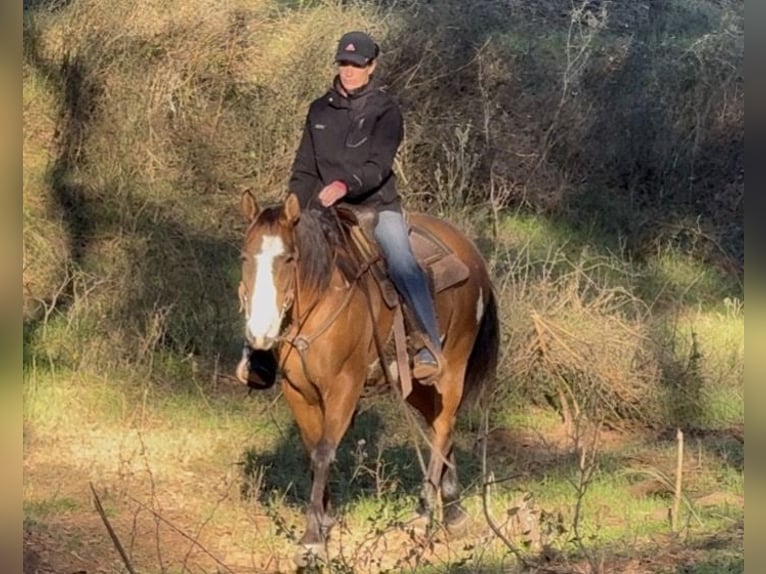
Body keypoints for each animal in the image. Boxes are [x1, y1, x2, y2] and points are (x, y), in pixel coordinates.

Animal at [236, 191, 499, 562]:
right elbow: (312, 450)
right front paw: (325, 522)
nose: (260, 333)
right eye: (245, 257)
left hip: (453, 367)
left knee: (444, 427)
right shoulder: (298, 391)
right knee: (440, 427)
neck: (320, 301)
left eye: (288, 258)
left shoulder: (344, 388)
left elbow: (323, 452)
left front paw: (312, 539)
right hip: (416, 385)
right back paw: (453, 511)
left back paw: (423, 514)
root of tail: (471, 252)